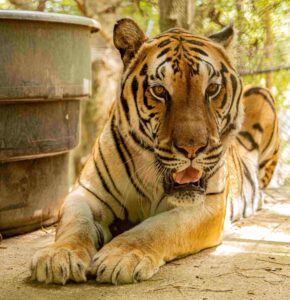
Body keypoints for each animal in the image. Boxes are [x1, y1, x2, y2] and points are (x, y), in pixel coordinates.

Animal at [30, 17, 280, 284]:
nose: (192, 148)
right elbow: (75, 224)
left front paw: (122, 255)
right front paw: (59, 256)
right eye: (159, 91)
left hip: (263, 95)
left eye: (212, 88)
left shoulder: (207, 205)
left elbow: (159, 228)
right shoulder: (86, 193)